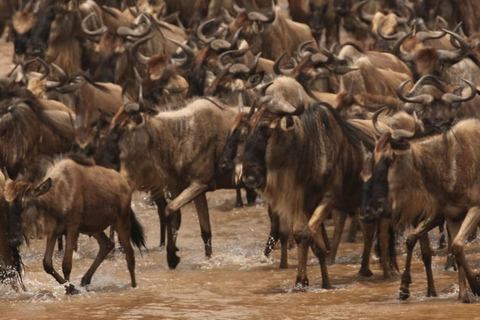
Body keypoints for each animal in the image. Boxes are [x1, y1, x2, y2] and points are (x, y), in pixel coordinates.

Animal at [4, 155, 144, 292]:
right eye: (7, 206)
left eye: (25, 204)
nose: (12, 239)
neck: (58, 195)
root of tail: (126, 185)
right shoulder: (54, 231)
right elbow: (47, 264)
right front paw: (70, 286)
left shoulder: (72, 228)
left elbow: (66, 264)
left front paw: (70, 289)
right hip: (93, 228)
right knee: (107, 244)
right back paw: (85, 280)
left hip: (121, 221)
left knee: (130, 255)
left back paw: (134, 286)